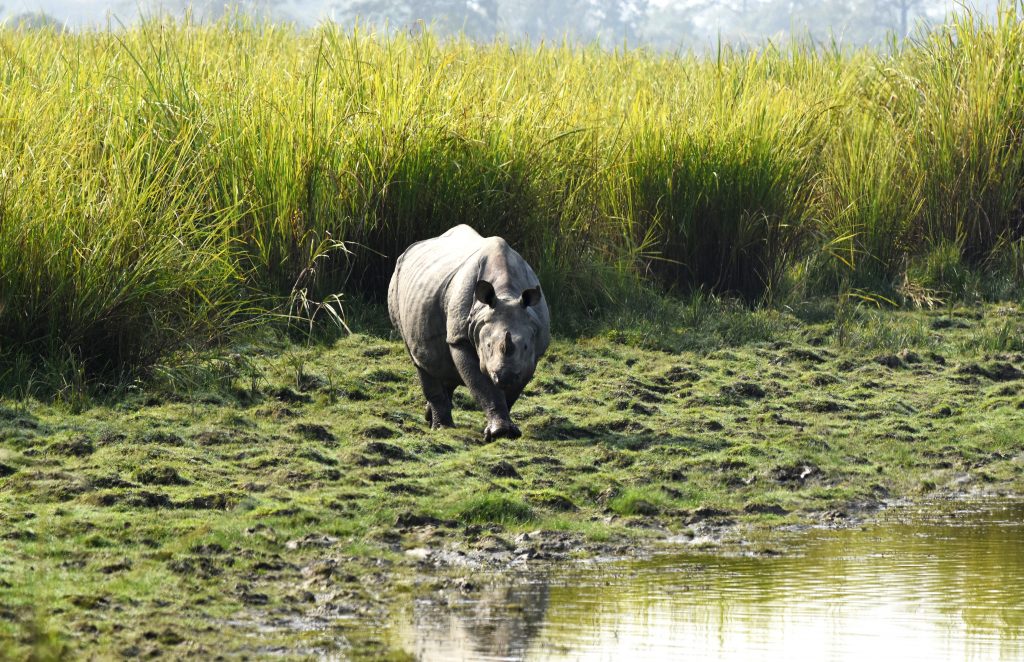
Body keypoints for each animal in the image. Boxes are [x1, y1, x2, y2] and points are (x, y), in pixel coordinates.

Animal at [388, 225, 550, 441]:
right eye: (488, 346)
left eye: (525, 346)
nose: (504, 376)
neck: (507, 294)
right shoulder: (460, 339)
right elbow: (482, 384)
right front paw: (499, 433)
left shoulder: (534, 348)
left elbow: (514, 388)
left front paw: (508, 432)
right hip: (397, 287)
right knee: (421, 361)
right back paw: (442, 428)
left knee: (442, 365)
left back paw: (430, 417)